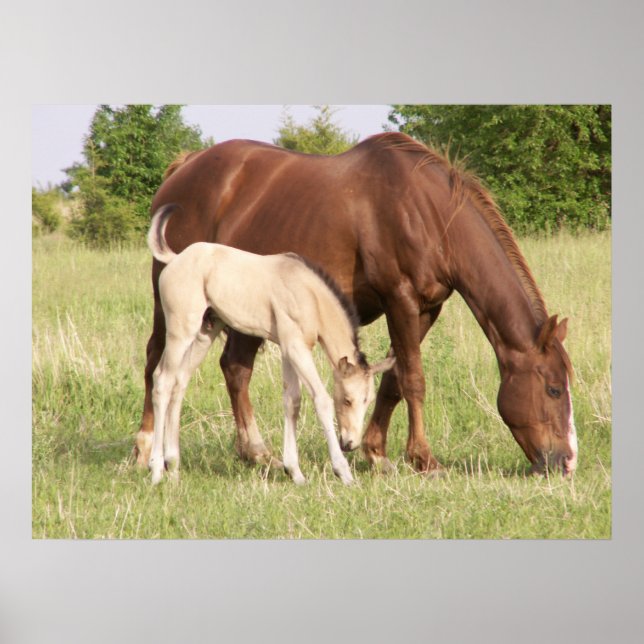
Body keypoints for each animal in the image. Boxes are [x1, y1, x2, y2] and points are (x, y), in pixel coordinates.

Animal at [146, 204, 395, 485]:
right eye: (348, 400)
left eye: (368, 400)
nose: (350, 443)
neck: (309, 294)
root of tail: (176, 259)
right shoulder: (298, 348)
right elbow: (320, 399)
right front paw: (343, 472)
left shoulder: (288, 349)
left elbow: (292, 401)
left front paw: (295, 472)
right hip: (180, 331)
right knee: (163, 380)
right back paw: (156, 469)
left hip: (204, 333)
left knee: (180, 382)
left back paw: (174, 467)